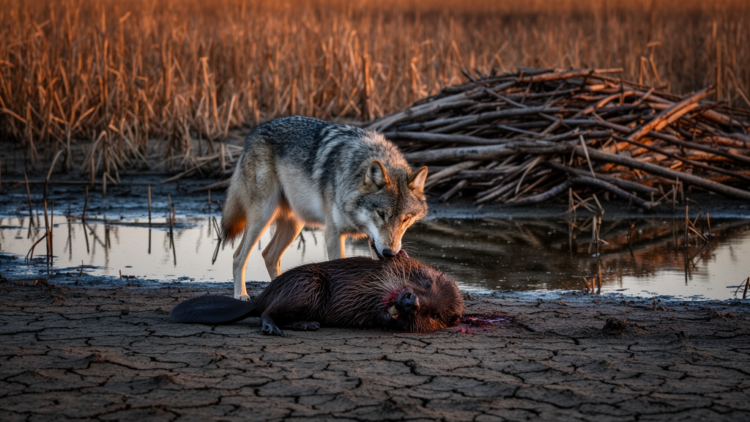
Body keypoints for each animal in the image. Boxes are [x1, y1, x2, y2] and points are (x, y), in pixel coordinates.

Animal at [221, 116, 429, 300]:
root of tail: (254, 131)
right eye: (381, 214)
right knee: (238, 256)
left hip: (295, 225)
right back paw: (241, 295)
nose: (390, 253)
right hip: (263, 216)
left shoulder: (373, 242)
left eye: (405, 219)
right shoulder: (333, 234)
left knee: (269, 255)